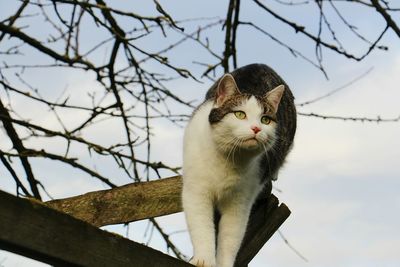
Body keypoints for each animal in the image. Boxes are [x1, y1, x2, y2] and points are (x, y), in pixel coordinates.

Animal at [183, 64, 296, 267]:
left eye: (265, 119)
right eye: (240, 114)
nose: (256, 129)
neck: (229, 159)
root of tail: (261, 64)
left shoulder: (240, 202)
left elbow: (230, 238)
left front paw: (223, 263)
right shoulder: (196, 191)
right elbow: (201, 228)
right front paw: (203, 260)